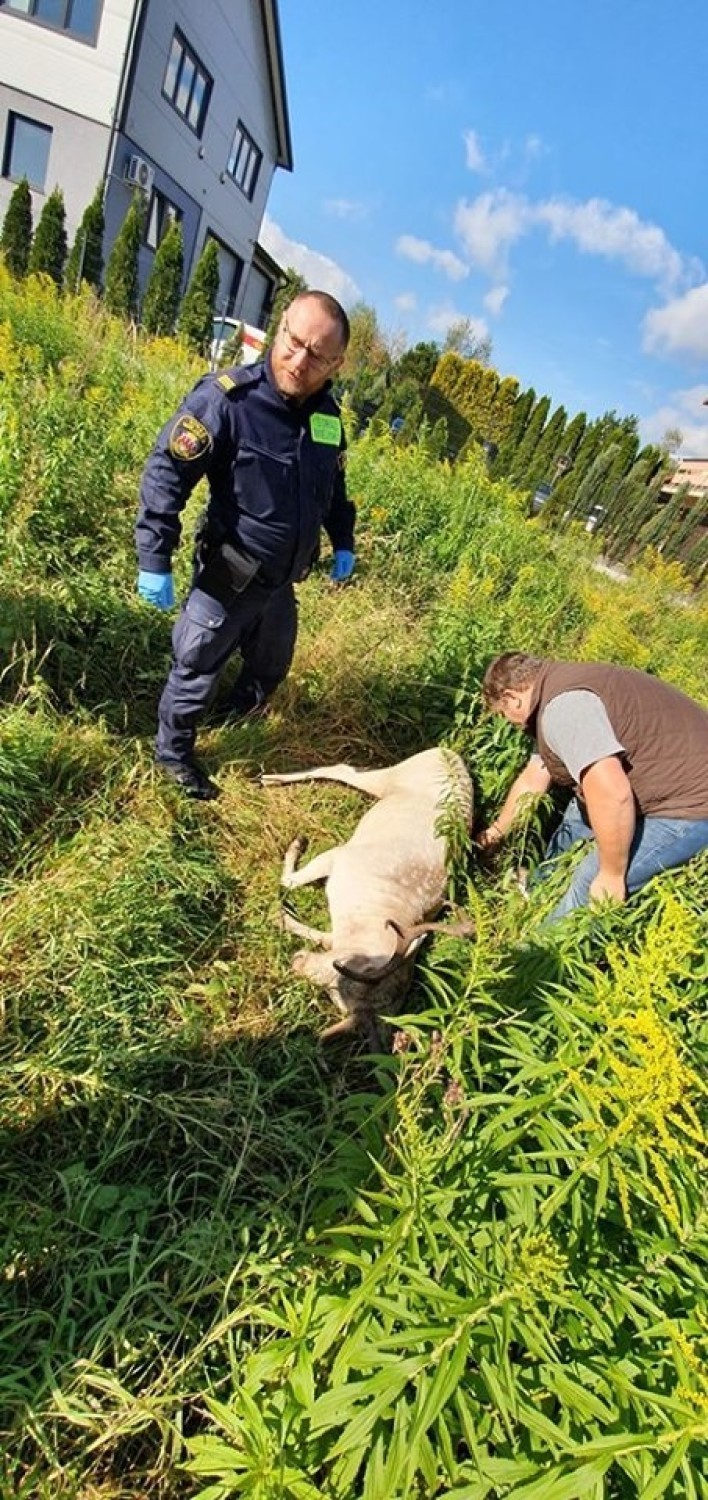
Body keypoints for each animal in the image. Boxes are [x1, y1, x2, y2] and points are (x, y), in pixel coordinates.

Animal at [261, 747, 477, 1050]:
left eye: (333, 991)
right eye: (343, 973)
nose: (297, 961)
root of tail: (449, 752)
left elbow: (316, 929)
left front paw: (278, 915)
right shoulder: (340, 857)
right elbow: (289, 881)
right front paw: (297, 843)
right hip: (397, 773)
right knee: (343, 769)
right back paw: (271, 779)